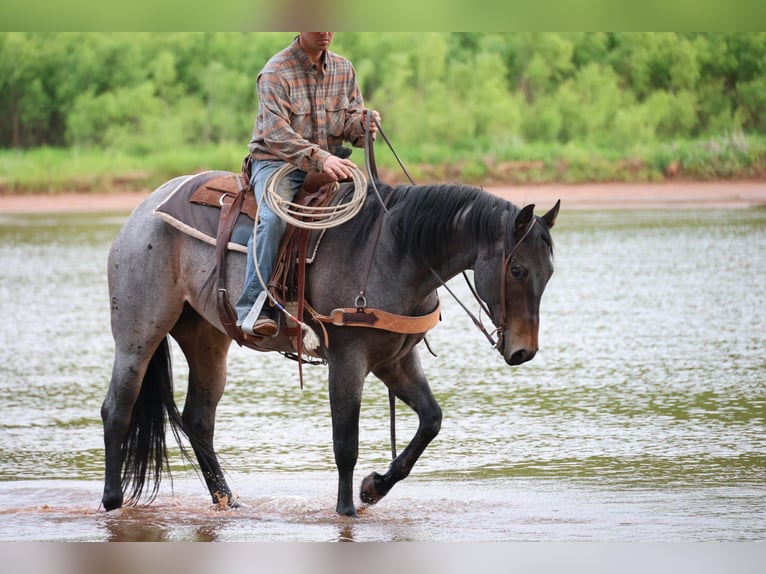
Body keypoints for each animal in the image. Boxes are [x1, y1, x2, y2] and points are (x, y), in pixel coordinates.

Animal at [100, 175, 559, 517]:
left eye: (549, 272)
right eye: (517, 270)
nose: (524, 351)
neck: (397, 252)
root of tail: (143, 211)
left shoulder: (396, 359)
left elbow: (431, 420)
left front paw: (374, 488)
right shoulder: (348, 359)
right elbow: (345, 443)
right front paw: (346, 510)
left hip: (207, 339)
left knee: (198, 420)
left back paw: (227, 501)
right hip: (138, 335)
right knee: (117, 410)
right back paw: (112, 501)